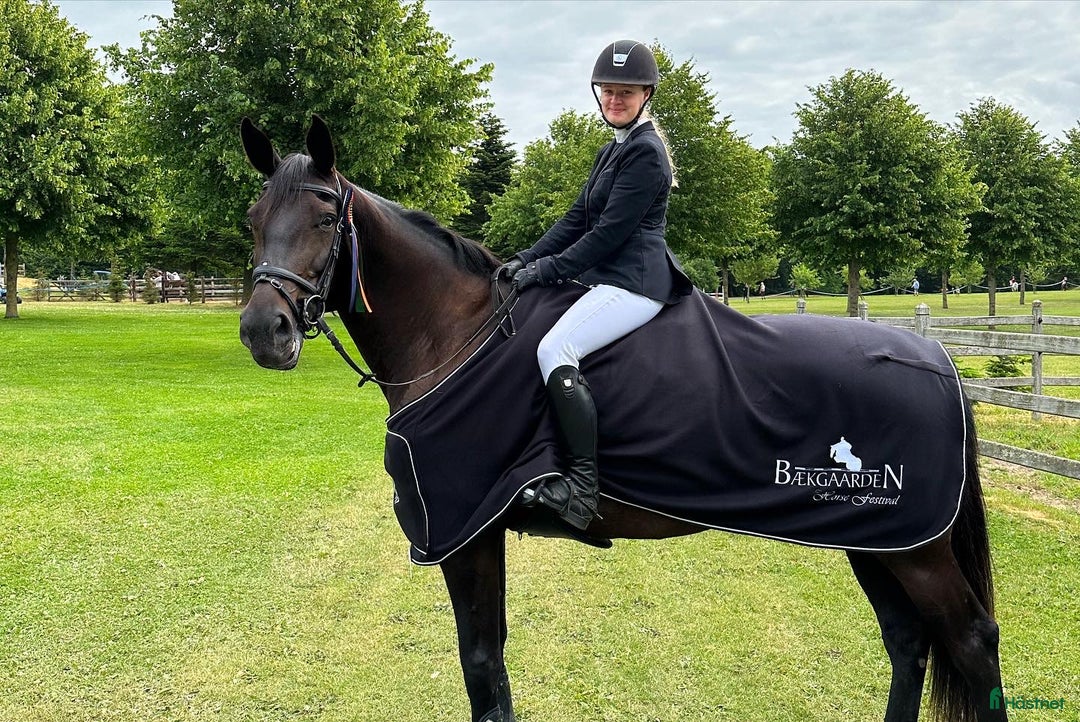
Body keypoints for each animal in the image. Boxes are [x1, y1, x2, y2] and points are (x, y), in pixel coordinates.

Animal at [238, 115, 1006, 722]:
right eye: (253, 220)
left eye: (325, 217)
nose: (263, 332)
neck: (456, 337)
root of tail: (936, 357)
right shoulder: (477, 532)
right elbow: (493, 664)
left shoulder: (464, 533)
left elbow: (481, 667)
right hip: (876, 537)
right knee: (908, 643)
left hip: (916, 549)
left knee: (972, 641)